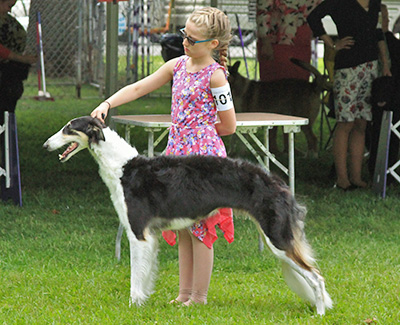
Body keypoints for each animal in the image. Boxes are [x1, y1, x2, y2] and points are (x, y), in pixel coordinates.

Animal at [42, 116, 332, 314]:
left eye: (69, 128)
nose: (46, 145)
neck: (124, 168)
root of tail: (278, 183)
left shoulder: (138, 234)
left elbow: (135, 277)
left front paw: (133, 305)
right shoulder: (150, 237)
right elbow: (146, 275)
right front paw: (144, 302)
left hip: (277, 238)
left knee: (317, 277)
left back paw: (319, 312)